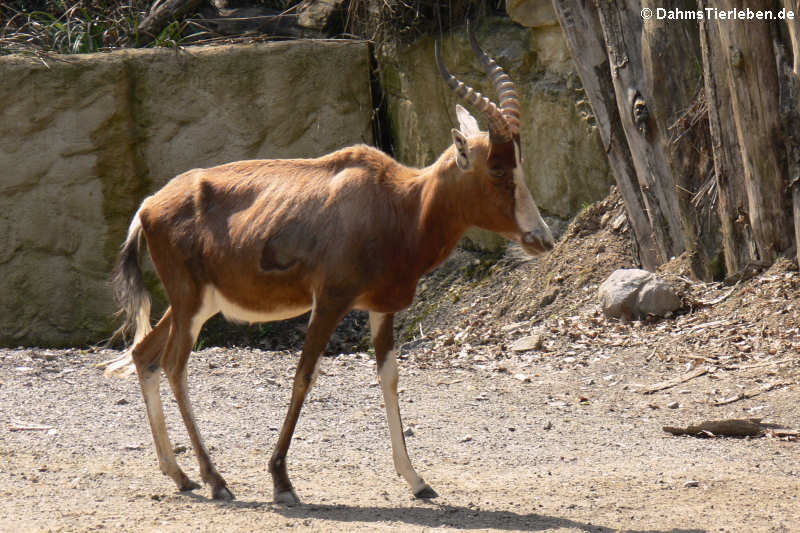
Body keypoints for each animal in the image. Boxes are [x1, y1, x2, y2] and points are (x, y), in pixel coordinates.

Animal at [101, 31, 552, 504]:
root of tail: (149, 206)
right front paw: (281, 481)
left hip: (193, 304)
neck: (398, 203)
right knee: (174, 365)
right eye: (498, 169)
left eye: (520, 164)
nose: (542, 238)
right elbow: (304, 375)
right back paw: (215, 480)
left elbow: (389, 376)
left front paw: (417, 480)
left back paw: (180, 475)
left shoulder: (381, 308)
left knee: (144, 355)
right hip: (190, 305)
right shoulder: (330, 302)